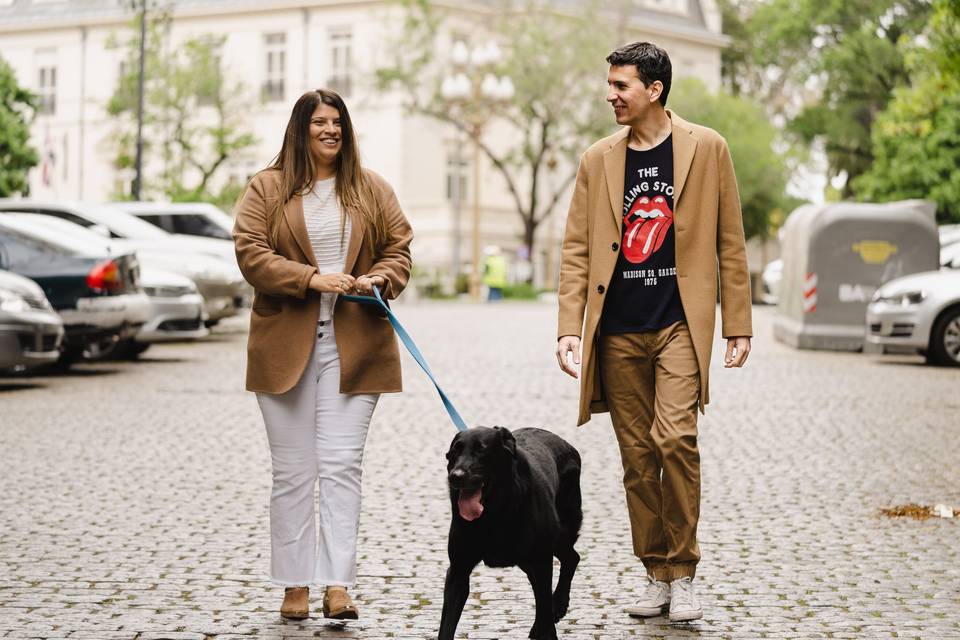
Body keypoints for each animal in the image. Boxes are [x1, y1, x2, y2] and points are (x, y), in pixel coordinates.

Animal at [438, 424, 580, 640]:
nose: (456, 476)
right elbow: (446, 626)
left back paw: (558, 605)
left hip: (558, 536)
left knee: (571, 560)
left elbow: (544, 609)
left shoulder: (541, 561)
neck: (494, 512)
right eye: (455, 451)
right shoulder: (458, 570)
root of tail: (567, 444)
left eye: (482, 450)